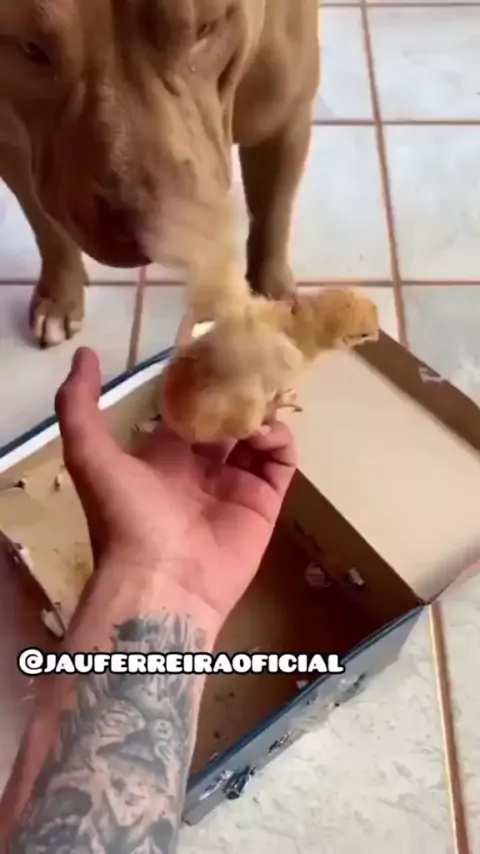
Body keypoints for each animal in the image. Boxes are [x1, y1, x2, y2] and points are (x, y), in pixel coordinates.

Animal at [0, 1, 319, 347]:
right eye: (31, 49)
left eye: (205, 29)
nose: (155, 231)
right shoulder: (12, 149)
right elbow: (46, 229)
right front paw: (60, 298)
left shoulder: (285, 121)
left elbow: (272, 219)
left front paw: (272, 302)